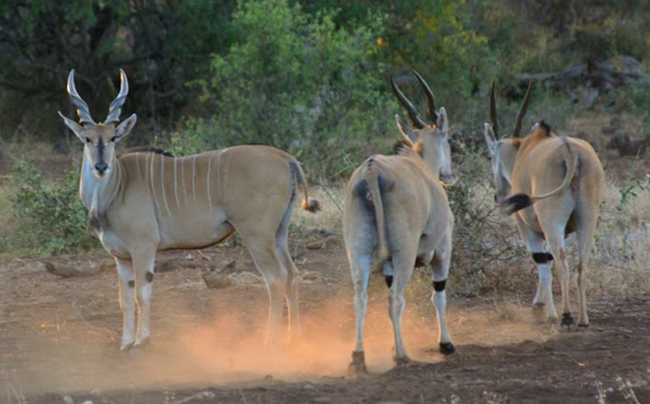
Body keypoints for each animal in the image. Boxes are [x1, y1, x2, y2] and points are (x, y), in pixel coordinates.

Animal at [57, 68, 320, 350]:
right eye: (87, 139)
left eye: (113, 138)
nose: (101, 167)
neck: (117, 186)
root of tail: (286, 158)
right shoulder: (121, 257)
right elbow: (124, 299)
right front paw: (125, 344)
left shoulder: (143, 247)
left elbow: (141, 294)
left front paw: (141, 341)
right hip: (279, 232)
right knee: (292, 274)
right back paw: (296, 336)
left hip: (257, 235)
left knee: (277, 278)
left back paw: (270, 339)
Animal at [342, 72, 454, 376]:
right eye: (448, 140)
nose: (449, 175)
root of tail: (373, 170)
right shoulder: (442, 250)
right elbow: (438, 295)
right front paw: (445, 344)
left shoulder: (389, 265)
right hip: (405, 253)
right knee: (396, 299)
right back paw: (403, 355)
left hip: (359, 255)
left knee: (361, 298)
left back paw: (359, 356)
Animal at [480, 80, 604, 330]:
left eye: (490, 157)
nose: (499, 196)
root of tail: (571, 153)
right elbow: (547, 258)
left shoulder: (528, 227)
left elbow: (542, 261)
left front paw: (546, 311)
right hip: (586, 221)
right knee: (581, 265)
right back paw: (583, 319)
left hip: (552, 222)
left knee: (562, 263)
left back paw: (566, 316)